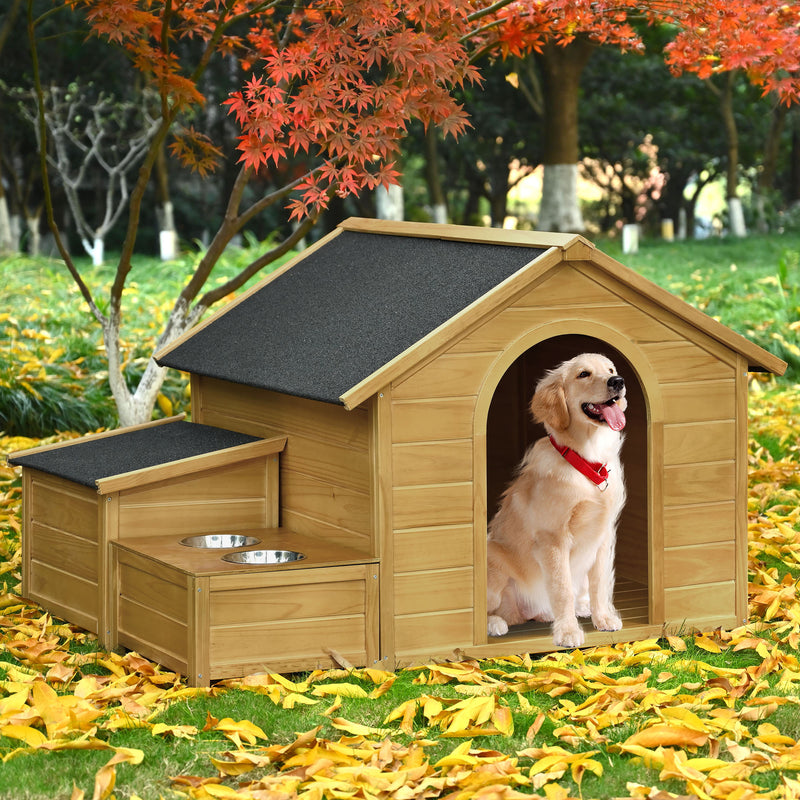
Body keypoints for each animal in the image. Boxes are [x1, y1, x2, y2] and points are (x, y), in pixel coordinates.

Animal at [488, 354, 624, 648]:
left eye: (611, 369)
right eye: (583, 374)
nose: (618, 381)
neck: (586, 461)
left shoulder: (604, 536)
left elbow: (599, 584)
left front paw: (603, 618)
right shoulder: (553, 539)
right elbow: (562, 590)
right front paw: (568, 632)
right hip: (494, 562)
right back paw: (495, 623)